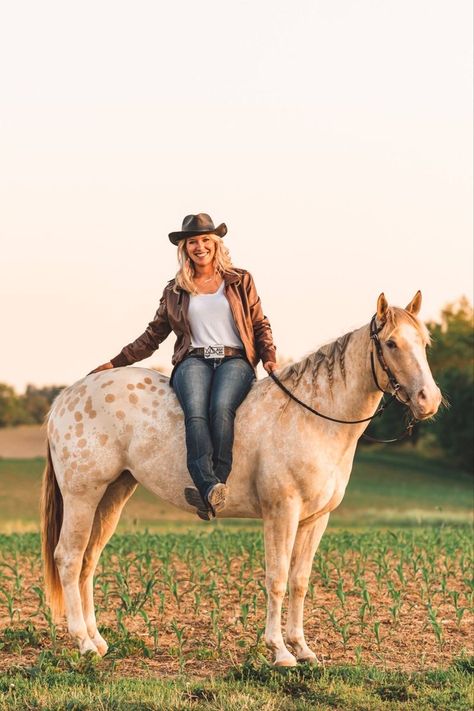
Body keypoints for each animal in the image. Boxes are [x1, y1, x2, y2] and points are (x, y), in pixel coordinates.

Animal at [39, 290, 440, 668]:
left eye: (424, 342)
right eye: (391, 343)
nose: (429, 400)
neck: (313, 416)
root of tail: (66, 397)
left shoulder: (315, 519)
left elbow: (299, 582)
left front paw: (303, 649)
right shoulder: (282, 513)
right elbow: (277, 580)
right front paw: (280, 651)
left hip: (112, 496)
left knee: (89, 561)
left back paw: (98, 640)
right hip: (82, 496)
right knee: (69, 558)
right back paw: (83, 643)